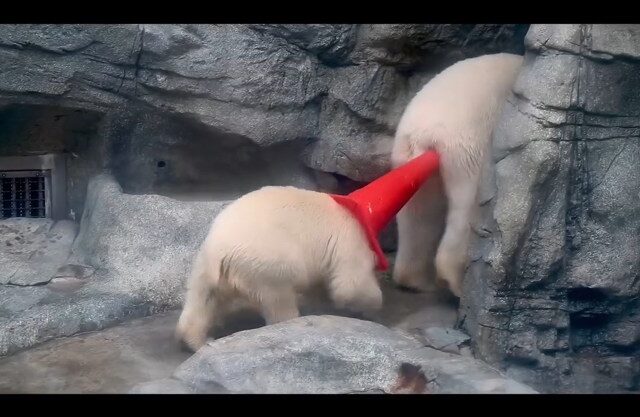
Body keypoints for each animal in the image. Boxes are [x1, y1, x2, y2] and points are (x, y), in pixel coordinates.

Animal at [176, 185, 383, 351]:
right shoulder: (349, 236)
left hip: (206, 265)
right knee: (279, 300)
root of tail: (219, 250)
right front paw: (374, 310)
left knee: (203, 298)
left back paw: (200, 340)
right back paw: (290, 323)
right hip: (269, 263)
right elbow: (351, 284)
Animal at [391, 53, 524, 298]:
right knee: (466, 208)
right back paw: (455, 282)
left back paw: (415, 280)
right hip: (466, 148)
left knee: (417, 215)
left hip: (406, 158)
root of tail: (423, 133)